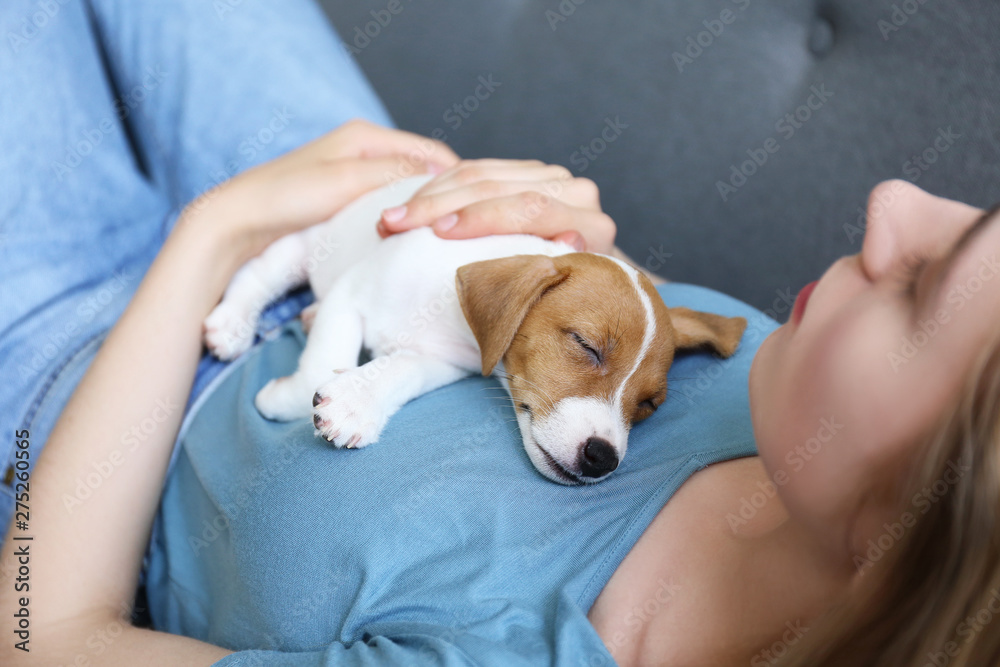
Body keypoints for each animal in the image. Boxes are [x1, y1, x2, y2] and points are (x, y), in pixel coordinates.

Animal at [203, 175, 748, 482]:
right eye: (586, 346)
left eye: (650, 404)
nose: (603, 457)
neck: (448, 312)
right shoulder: (350, 295)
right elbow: (323, 357)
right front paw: (291, 397)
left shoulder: (442, 359)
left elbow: (399, 373)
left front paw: (359, 401)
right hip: (305, 245)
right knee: (256, 273)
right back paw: (232, 323)